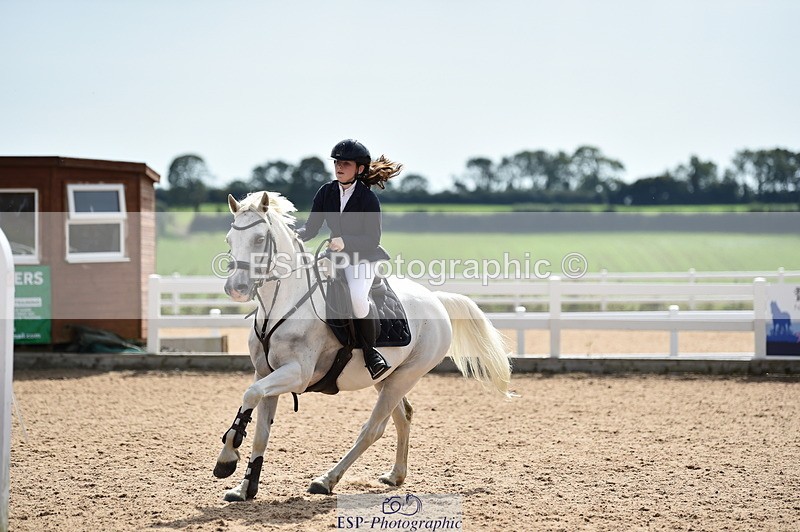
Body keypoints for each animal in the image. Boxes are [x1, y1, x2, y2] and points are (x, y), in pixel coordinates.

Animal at [213, 191, 512, 502]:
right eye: (229, 240)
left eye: (260, 239)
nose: (235, 288)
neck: (282, 305)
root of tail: (436, 299)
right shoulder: (265, 373)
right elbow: (260, 427)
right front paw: (244, 487)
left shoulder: (297, 373)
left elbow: (250, 395)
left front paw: (226, 460)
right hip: (388, 378)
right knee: (403, 416)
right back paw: (395, 475)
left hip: (405, 377)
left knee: (373, 429)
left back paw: (326, 480)